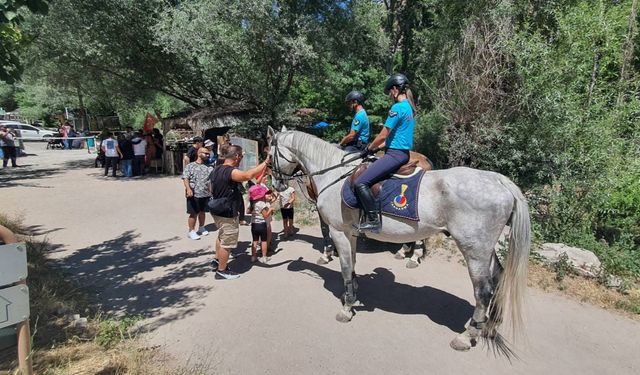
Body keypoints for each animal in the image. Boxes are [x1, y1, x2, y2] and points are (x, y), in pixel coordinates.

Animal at [268, 128, 532, 356]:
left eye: (269, 156)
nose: (277, 185)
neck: (332, 174)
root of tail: (499, 181)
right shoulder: (350, 234)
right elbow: (351, 265)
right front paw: (353, 295)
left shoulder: (338, 231)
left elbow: (344, 267)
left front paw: (346, 308)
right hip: (486, 249)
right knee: (498, 278)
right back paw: (489, 327)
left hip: (474, 249)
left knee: (483, 291)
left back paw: (466, 337)